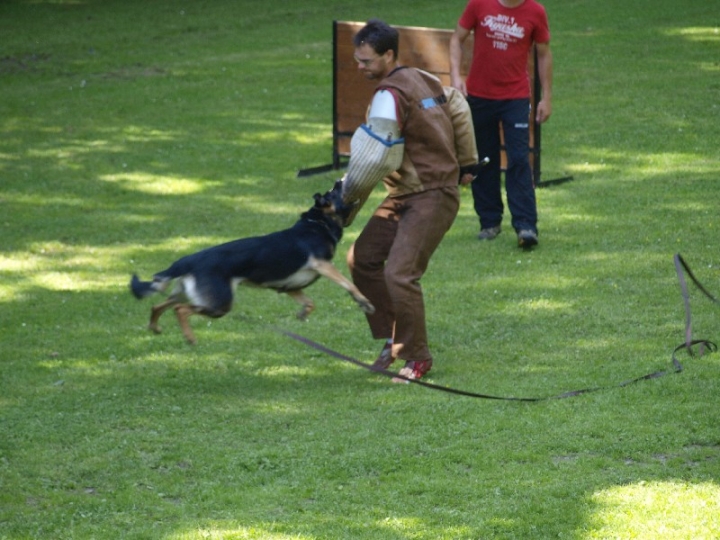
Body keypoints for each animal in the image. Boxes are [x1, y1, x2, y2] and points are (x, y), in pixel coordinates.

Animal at [129, 180, 374, 342]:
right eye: (335, 190)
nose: (339, 180)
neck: (317, 223)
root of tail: (188, 260)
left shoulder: (289, 287)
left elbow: (310, 303)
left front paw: (303, 313)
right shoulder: (323, 265)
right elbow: (348, 284)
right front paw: (363, 301)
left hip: (185, 294)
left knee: (158, 305)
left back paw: (155, 327)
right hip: (219, 304)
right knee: (180, 309)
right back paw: (189, 337)